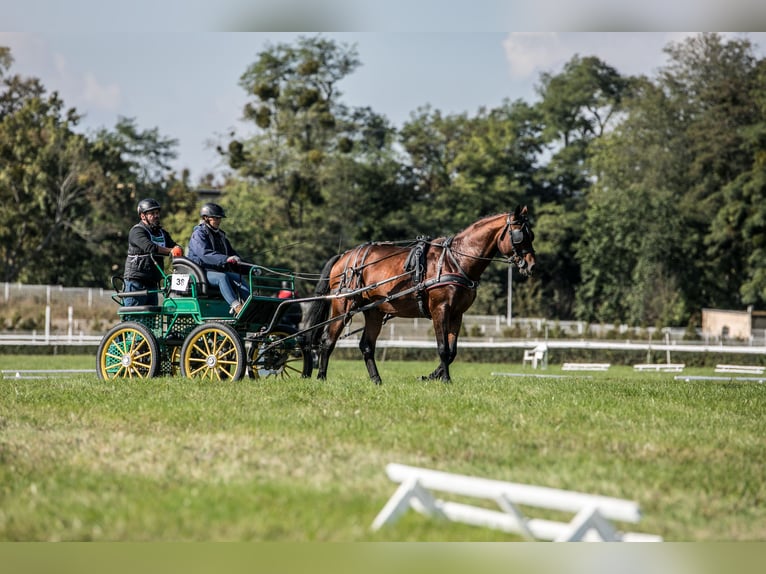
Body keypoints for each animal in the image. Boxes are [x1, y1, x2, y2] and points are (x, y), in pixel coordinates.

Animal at [305, 205, 537, 384]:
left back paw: (377, 380)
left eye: (531, 235)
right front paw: (445, 379)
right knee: (328, 340)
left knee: (367, 346)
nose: (532, 265)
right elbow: (443, 348)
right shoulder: (440, 309)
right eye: (520, 236)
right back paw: (321, 377)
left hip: (374, 312)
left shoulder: (457, 313)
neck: (454, 261)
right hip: (343, 306)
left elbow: (452, 351)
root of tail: (344, 256)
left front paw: (432, 376)